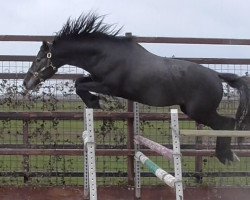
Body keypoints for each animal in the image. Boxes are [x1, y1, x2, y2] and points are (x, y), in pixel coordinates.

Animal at [23, 13, 250, 165]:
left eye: (39, 58)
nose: (26, 83)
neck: (105, 54)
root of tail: (216, 76)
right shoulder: (96, 79)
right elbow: (79, 81)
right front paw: (95, 102)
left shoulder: (108, 86)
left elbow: (79, 85)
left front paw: (96, 102)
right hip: (192, 110)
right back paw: (227, 155)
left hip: (200, 111)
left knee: (226, 123)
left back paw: (226, 156)